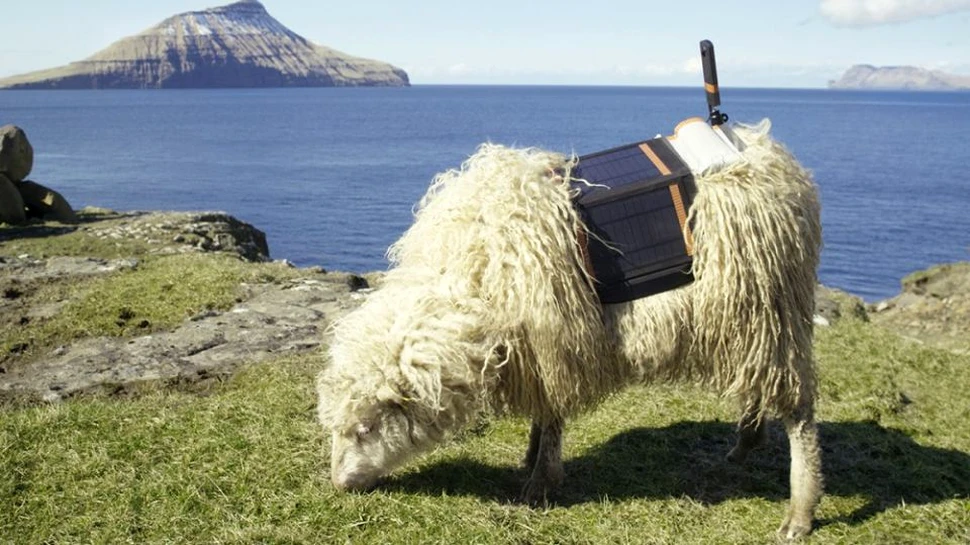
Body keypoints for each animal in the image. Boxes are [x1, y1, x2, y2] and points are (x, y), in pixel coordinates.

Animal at [316, 120, 823, 539]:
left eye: (365, 428)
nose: (339, 484)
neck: (466, 278)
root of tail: (772, 153)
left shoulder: (552, 337)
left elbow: (554, 414)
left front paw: (540, 482)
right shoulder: (534, 346)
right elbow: (544, 413)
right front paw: (530, 456)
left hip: (772, 306)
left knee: (799, 413)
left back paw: (799, 511)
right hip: (751, 319)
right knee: (758, 379)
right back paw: (746, 442)